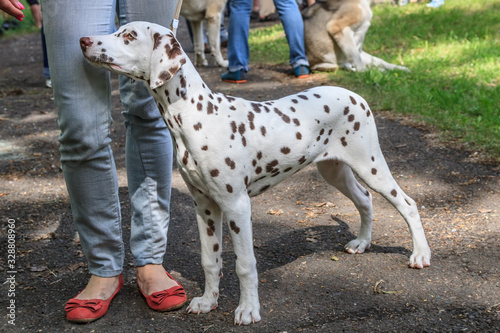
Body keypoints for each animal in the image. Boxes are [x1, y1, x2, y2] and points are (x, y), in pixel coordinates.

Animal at [81, 21, 430, 324]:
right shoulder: (204, 206)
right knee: (365, 199)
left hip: (370, 164)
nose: (84, 41)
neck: (196, 114)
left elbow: (245, 264)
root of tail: (355, 95)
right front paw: (208, 301)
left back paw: (420, 255)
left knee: (407, 204)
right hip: (335, 171)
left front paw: (248, 310)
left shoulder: (237, 206)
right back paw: (362, 242)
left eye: (129, 36)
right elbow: (210, 260)